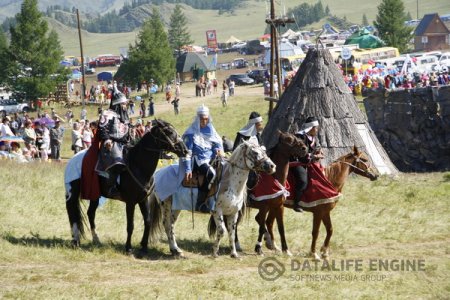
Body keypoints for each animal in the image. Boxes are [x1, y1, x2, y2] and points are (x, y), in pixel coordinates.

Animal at [64, 119, 188, 253]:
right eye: (169, 132)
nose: (185, 150)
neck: (138, 165)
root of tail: (72, 160)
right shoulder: (130, 202)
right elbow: (130, 225)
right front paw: (128, 248)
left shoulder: (143, 200)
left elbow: (148, 221)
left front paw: (144, 246)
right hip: (72, 194)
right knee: (72, 214)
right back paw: (75, 240)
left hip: (95, 195)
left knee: (90, 213)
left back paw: (96, 239)